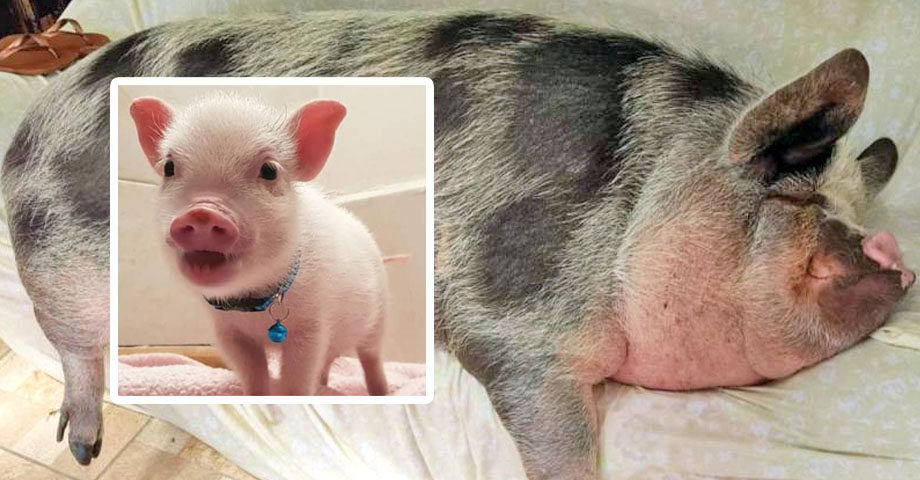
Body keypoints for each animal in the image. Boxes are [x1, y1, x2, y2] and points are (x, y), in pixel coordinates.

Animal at [126, 93, 390, 398]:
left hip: (378, 318)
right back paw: (325, 387)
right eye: (169, 168)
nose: (203, 212)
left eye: (269, 170)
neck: (255, 304)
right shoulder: (229, 333)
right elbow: (253, 373)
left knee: (370, 358)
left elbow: (296, 381)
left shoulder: (311, 327)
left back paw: (382, 392)